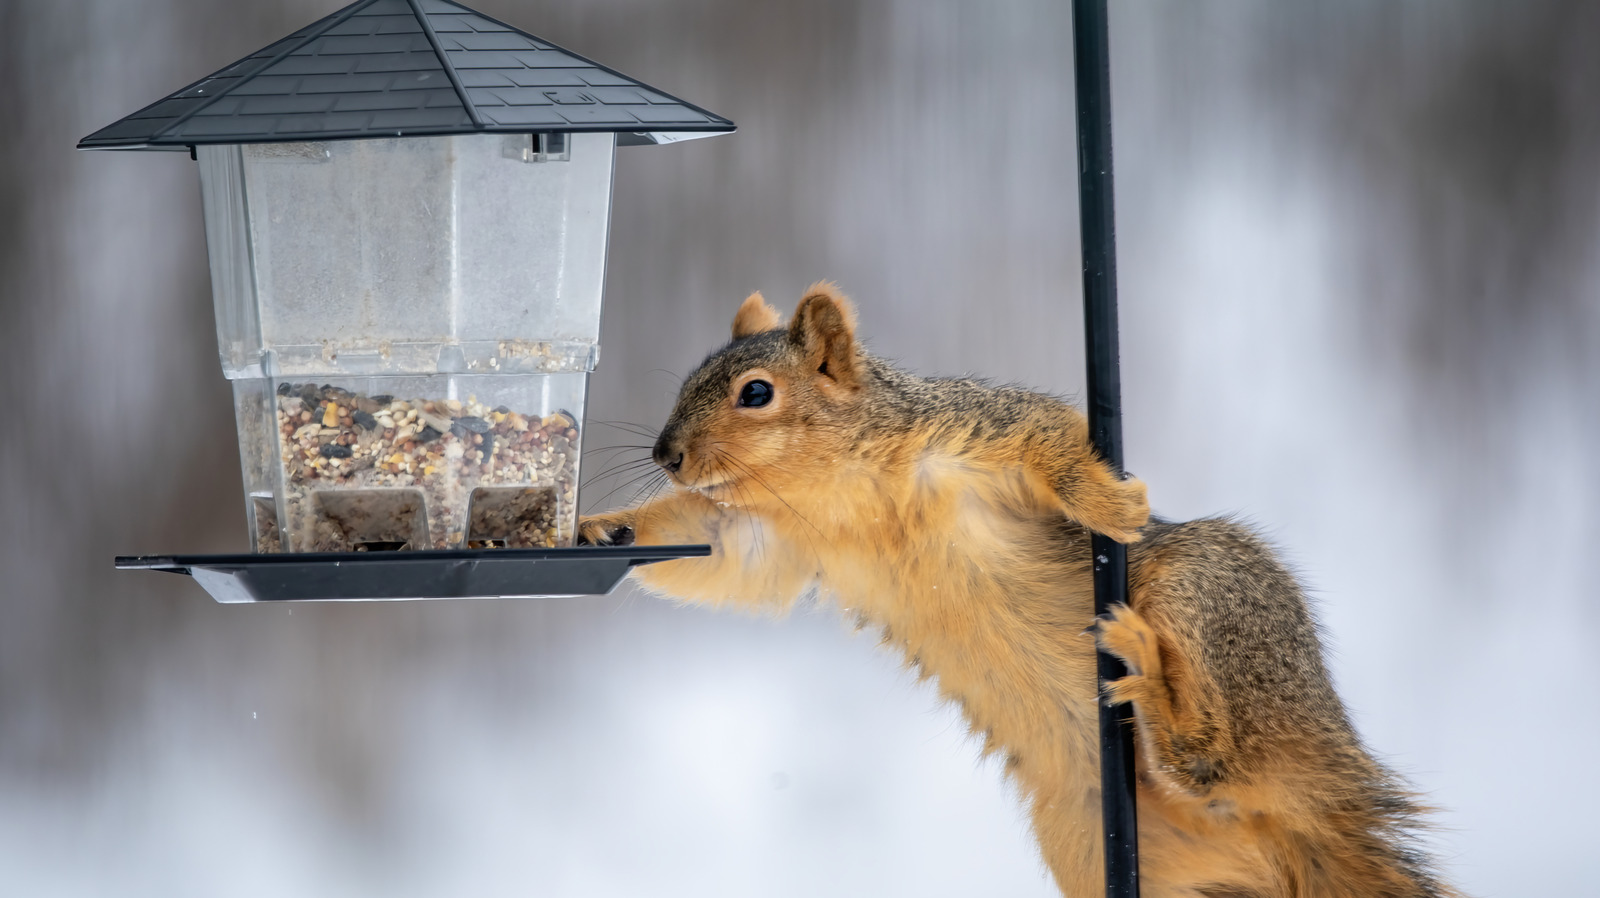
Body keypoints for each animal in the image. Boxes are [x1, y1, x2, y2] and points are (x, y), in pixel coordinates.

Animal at [578, 283, 1457, 898]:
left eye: (755, 392)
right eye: (690, 379)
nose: (666, 456)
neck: (839, 492)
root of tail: (1318, 803)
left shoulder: (976, 430)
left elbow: (1054, 438)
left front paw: (1108, 502)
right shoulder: (778, 543)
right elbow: (720, 559)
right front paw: (600, 529)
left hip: (1206, 585)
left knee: (1211, 758)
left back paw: (1152, 684)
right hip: (1096, 847)